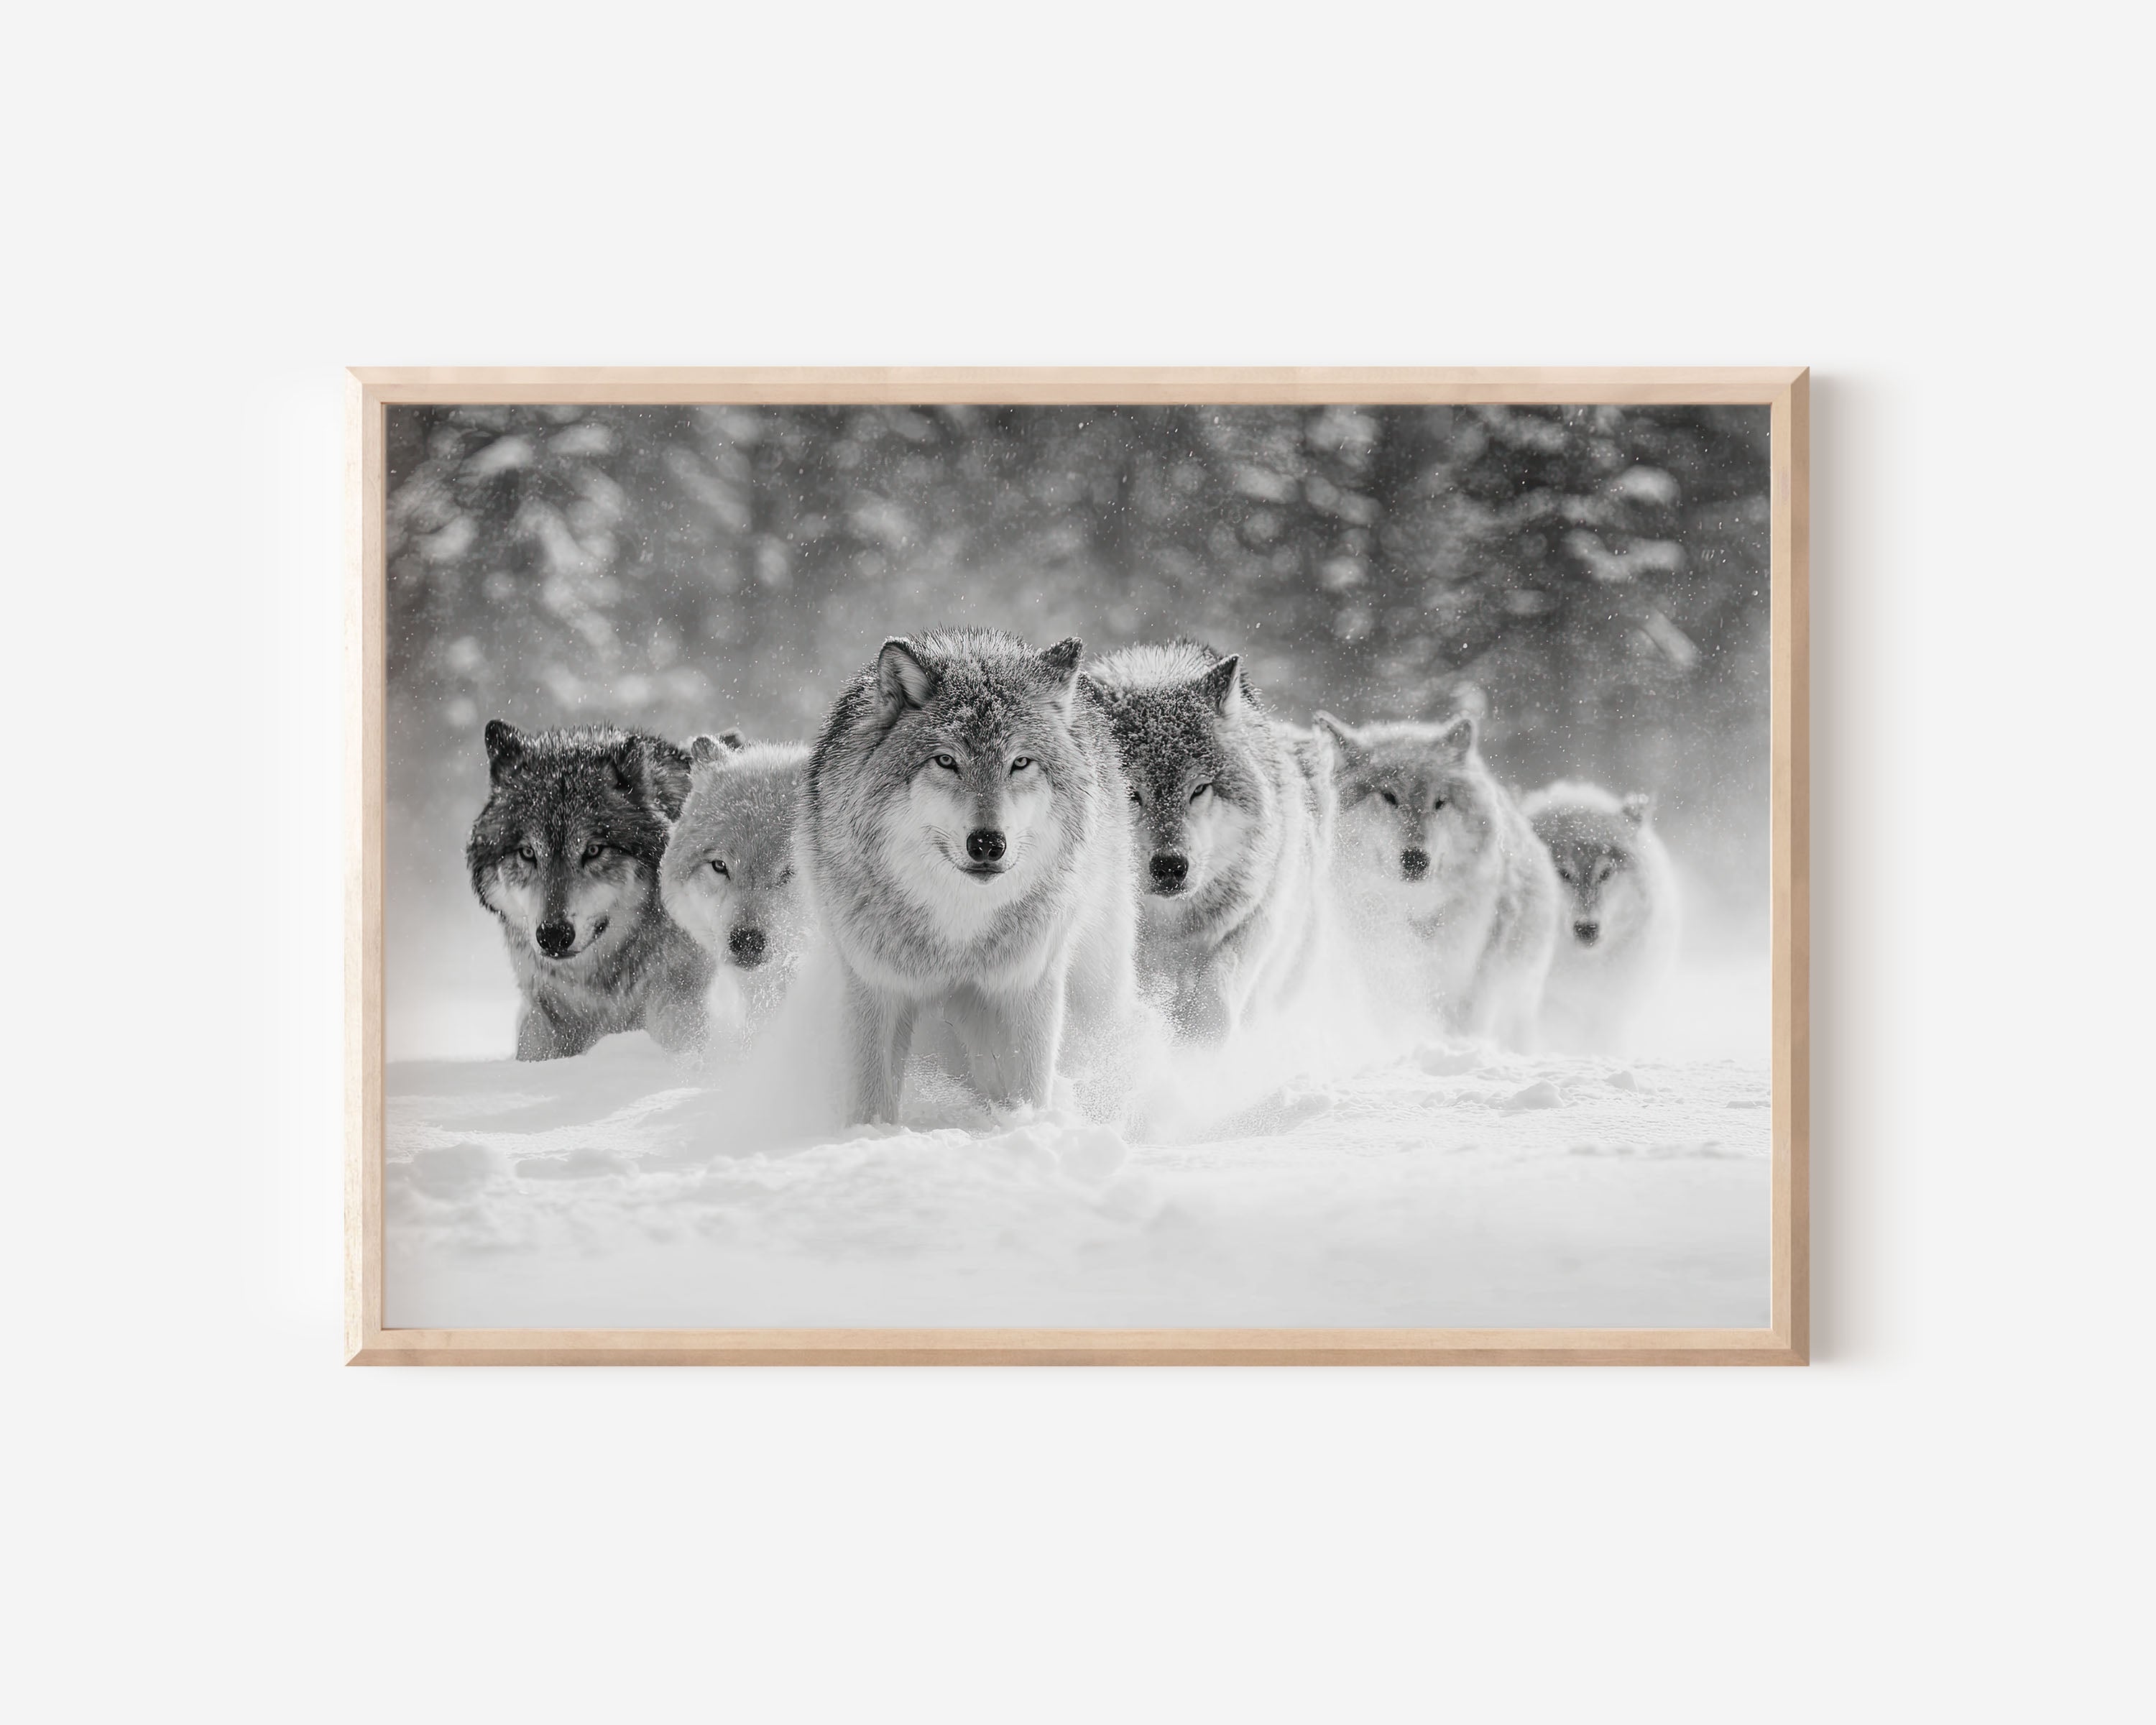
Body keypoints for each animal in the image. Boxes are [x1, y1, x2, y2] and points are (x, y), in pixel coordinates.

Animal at [466, 721, 710, 1060]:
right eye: (528, 853)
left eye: (594, 850)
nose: (553, 935)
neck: (599, 984)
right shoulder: (542, 1013)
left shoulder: (677, 996)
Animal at [800, 628, 1139, 1123]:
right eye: (946, 761)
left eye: (1020, 762)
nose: (987, 844)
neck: (960, 923)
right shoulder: (876, 985)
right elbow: (872, 1094)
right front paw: (871, 1136)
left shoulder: (1027, 983)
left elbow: (1030, 1081)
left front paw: (1026, 1125)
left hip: (1090, 976)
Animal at [1084, 641, 1334, 1042]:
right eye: (1131, 793)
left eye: (1199, 789)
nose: (1170, 866)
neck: (1167, 923)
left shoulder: (1258, 915)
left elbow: (1216, 994)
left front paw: (1199, 1044)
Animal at [1314, 706, 1557, 1046]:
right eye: (1388, 796)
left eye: (1440, 802)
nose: (1416, 860)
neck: (1414, 910)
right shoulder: (1383, 980)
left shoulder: (1459, 985)